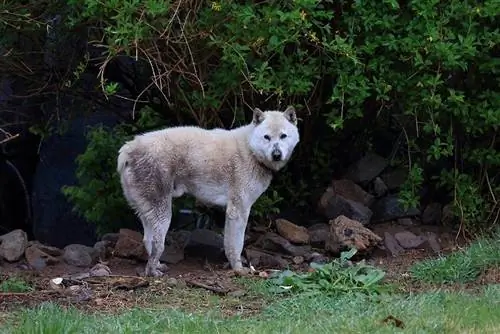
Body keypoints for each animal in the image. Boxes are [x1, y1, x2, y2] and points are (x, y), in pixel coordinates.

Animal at [115, 105, 298, 276]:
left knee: (147, 240)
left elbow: (230, 243)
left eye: (283, 136)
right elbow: (236, 245)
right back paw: (153, 272)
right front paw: (238, 269)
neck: (250, 149)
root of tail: (128, 149)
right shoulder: (239, 211)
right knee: (156, 245)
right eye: (267, 137)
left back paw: (158, 265)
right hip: (164, 215)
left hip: (148, 213)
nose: (276, 154)